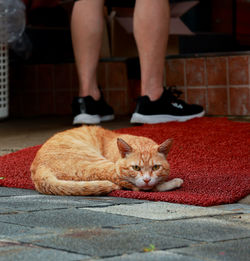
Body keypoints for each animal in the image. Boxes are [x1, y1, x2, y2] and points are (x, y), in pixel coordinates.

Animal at [31, 124, 184, 195]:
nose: (147, 179)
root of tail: (39, 170)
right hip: (99, 163)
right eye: (136, 168)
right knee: (134, 186)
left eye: (156, 167)